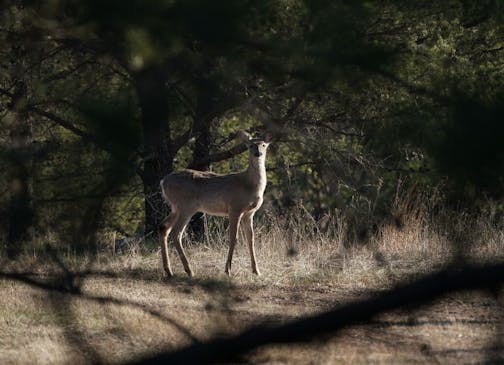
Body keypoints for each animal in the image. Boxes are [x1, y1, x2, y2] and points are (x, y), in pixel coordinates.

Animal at [158, 131, 272, 276]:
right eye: (250, 145)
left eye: (263, 145)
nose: (258, 153)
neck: (248, 185)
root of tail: (163, 182)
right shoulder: (234, 208)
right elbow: (233, 238)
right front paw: (228, 270)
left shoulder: (249, 213)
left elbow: (250, 239)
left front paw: (256, 271)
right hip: (185, 206)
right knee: (176, 232)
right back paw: (189, 270)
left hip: (176, 207)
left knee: (163, 227)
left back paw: (169, 271)